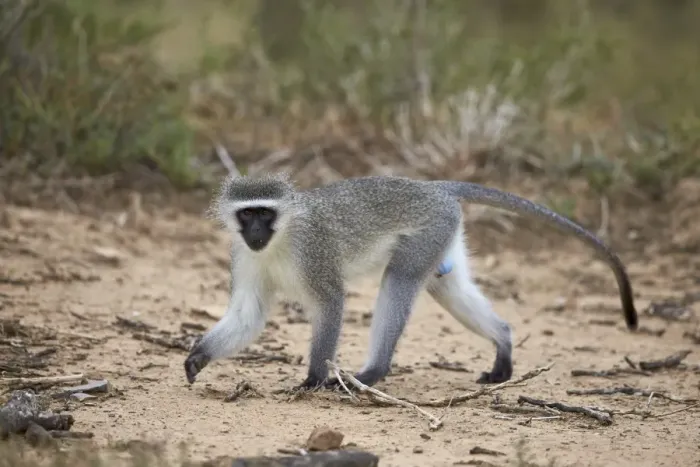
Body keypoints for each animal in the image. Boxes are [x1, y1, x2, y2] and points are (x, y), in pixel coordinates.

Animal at [184, 173, 638, 390]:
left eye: (266, 213)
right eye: (246, 214)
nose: (256, 232)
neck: (279, 241)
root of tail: (430, 187)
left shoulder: (315, 254)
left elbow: (331, 303)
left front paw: (313, 379)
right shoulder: (243, 256)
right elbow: (248, 314)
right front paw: (199, 356)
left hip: (428, 231)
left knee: (399, 280)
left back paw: (372, 373)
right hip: (443, 235)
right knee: (447, 287)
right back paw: (504, 344)